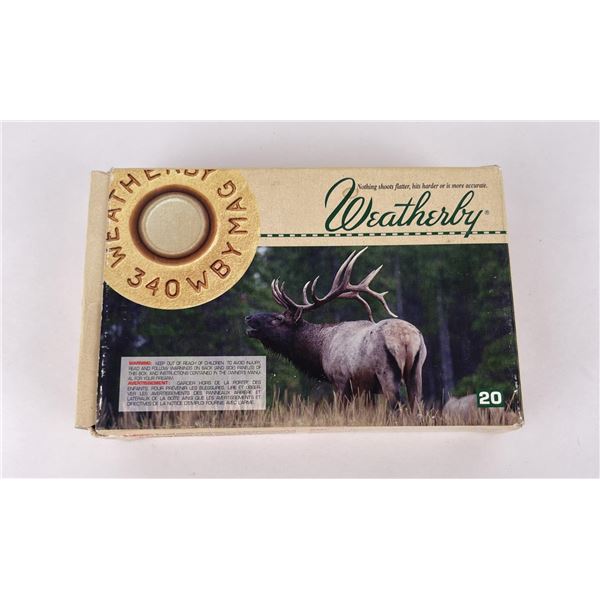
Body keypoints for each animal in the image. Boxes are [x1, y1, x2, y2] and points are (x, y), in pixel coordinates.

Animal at [245, 248, 427, 409]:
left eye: (278, 318)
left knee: (396, 406)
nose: (248, 317)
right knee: (416, 407)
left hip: (386, 371)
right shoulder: (366, 388)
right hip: (417, 372)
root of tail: (406, 339)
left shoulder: (340, 380)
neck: (320, 352)